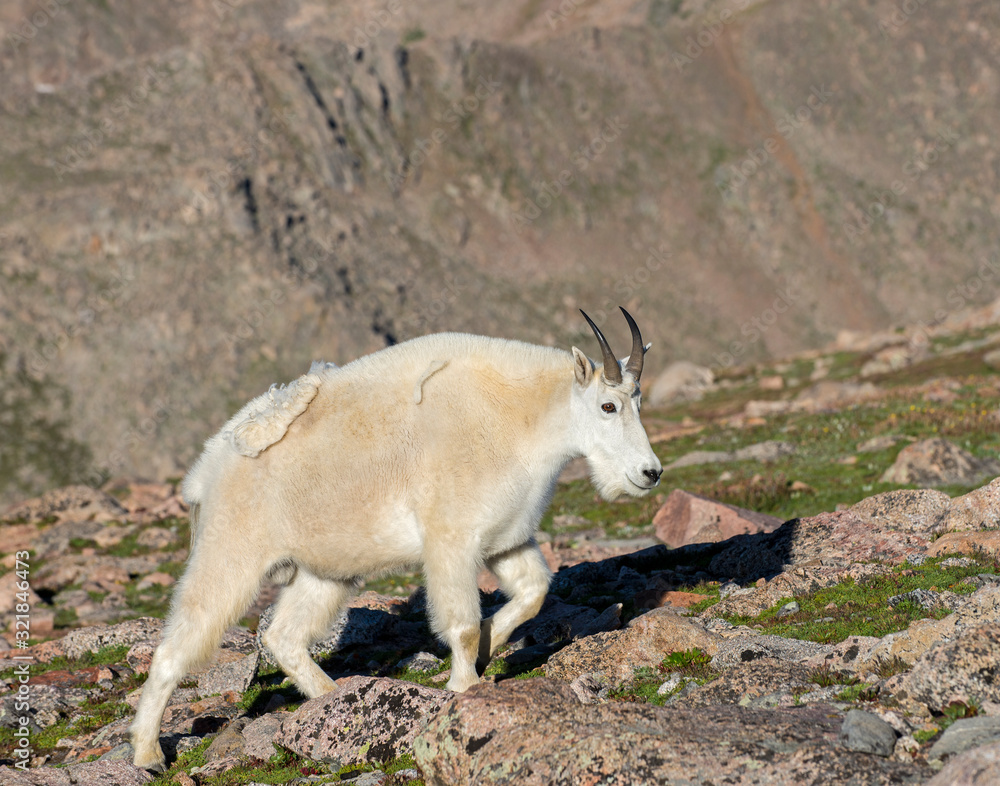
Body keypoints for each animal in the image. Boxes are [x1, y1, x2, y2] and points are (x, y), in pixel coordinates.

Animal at [130, 308, 662, 771]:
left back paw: (333, 701)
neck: (520, 418)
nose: (650, 473)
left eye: (640, 403)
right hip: (231, 553)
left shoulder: (505, 539)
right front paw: (463, 685)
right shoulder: (451, 539)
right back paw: (148, 755)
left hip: (325, 573)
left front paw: (490, 646)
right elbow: (461, 623)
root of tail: (206, 470)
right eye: (608, 405)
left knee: (284, 637)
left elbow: (533, 592)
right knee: (175, 649)